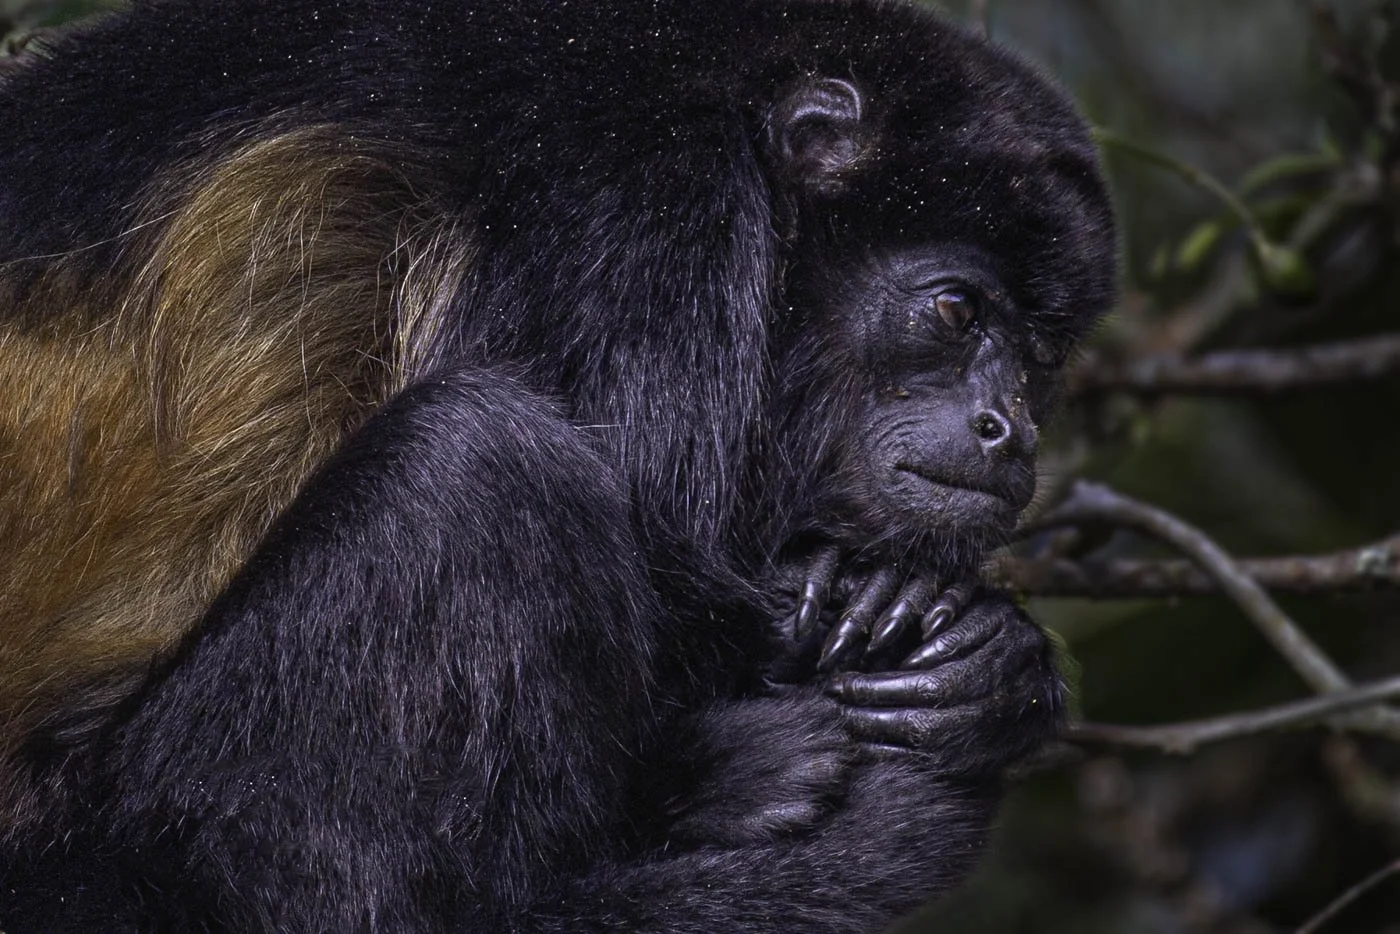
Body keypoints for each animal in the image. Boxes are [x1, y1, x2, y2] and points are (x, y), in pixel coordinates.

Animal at [0, 0, 1116, 930]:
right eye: (955, 308)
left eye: (1038, 359)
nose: (1010, 431)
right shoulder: (639, 206)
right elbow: (661, 548)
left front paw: (989, 663)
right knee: (479, 462)